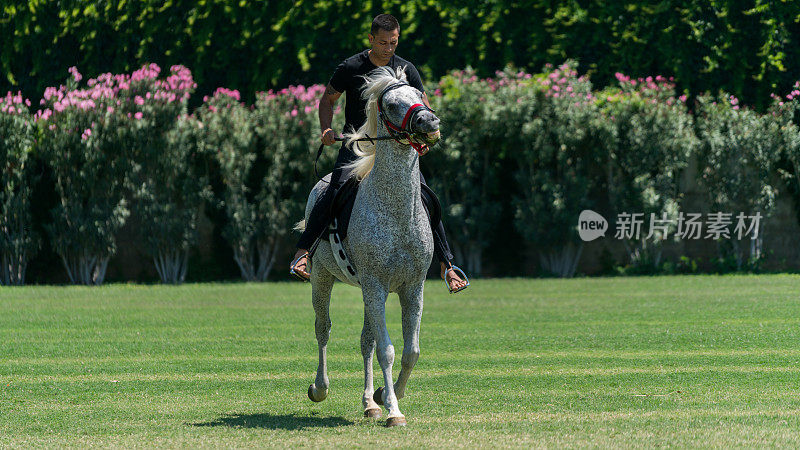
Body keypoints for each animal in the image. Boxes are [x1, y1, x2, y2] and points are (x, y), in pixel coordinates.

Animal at [296, 66, 440, 426]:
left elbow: (409, 350)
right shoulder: (375, 285)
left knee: (366, 341)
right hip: (323, 279)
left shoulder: (411, 287)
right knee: (323, 329)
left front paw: (383, 396)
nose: (430, 123)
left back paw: (369, 404)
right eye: (390, 104)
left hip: (367, 291)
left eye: (418, 95)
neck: (397, 212)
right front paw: (394, 411)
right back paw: (319, 388)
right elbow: (388, 350)